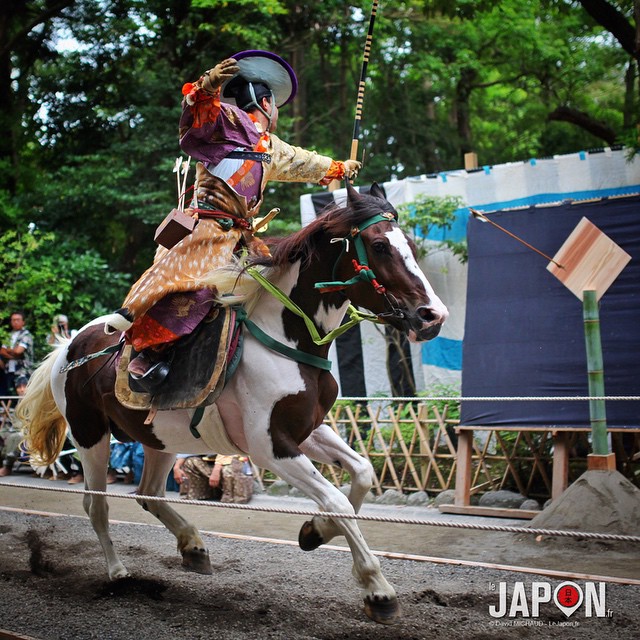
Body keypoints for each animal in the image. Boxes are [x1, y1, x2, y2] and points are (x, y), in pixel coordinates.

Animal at [16, 182, 444, 624]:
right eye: (380, 246)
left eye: (410, 244)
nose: (433, 316)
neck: (289, 338)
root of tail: (70, 345)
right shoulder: (269, 445)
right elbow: (338, 499)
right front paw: (378, 589)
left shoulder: (306, 429)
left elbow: (361, 473)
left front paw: (314, 531)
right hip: (90, 435)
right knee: (96, 505)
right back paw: (118, 572)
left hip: (157, 438)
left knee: (149, 493)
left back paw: (192, 545)